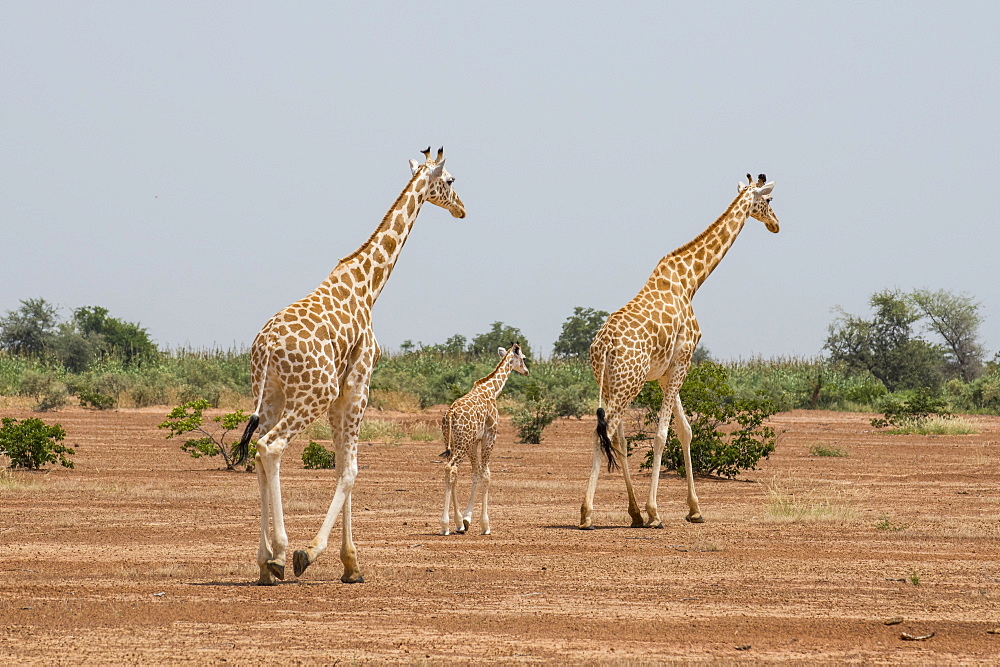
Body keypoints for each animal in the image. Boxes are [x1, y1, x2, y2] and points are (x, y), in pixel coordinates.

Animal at [236, 147, 466, 584]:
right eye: (450, 181)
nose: (463, 209)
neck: (368, 285)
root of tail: (267, 346)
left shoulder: (342, 391)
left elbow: (342, 466)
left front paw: (351, 565)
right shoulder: (356, 385)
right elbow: (350, 470)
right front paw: (321, 555)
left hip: (271, 394)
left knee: (258, 453)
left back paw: (263, 562)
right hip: (314, 392)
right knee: (271, 446)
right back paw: (281, 553)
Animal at [440, 344, 532, 536]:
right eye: (524, 358)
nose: (527, 371)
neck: (492, 390)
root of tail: (450, 414)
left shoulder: (475, 441)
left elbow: (476, 473)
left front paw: (466, 520)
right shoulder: (490, 436)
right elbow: (487, 475)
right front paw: (485, 525)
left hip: (452, 442)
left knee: (452, 472)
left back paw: (456, 523)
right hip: (462, 442)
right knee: (450, 468)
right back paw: (444, 526)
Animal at [580, 175, 780, 528]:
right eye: (768, 201)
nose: (776, 225)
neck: (691, 281)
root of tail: (602, 346)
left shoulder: (665, 372)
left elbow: (685, 431)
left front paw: (694, 509)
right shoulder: (683, 361)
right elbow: (662, 434)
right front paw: (655, 512)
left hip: (608, 382)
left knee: (615, 435)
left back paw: (632, 512)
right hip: (628, 382)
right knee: (605, 431)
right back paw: (589, 513)